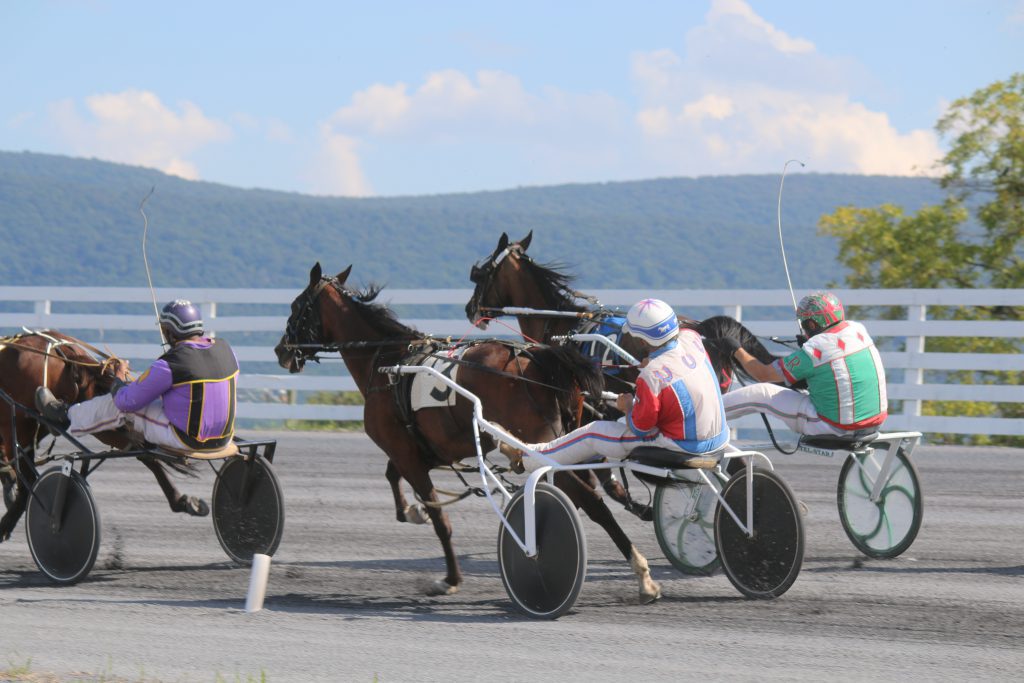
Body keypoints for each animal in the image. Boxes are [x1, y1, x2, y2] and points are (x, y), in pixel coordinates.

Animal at [0, 331, 209, 544]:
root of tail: (64, 349)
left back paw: (9, 526)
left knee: (28, 483)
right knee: (138, 448)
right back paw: (180, 500)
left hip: (19, 424)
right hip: (91, 412)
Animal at [272, 264, 655, 602]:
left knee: (592, 500)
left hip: (541, 444)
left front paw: (450, 577)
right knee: (594, 492)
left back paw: (641, 573)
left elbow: (439, 518)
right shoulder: (420, 450)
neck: (387, 364)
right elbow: (392, 476)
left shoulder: (405, 452)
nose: (280, 350)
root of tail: (542, 358)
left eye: (296, 306)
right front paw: (412, 511)